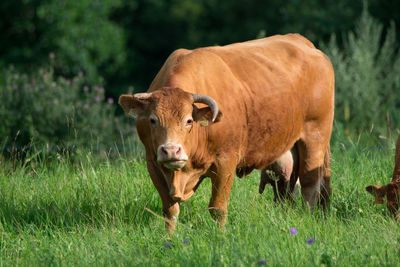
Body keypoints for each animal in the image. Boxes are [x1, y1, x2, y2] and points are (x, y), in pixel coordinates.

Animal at [119, 34, 334, 234]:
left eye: (188, 121)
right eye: (152, 120)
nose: (171, 151)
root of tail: (303, 42)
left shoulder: (225, 161)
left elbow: (218, 208)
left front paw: (220, 236)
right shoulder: (153, 163)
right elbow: (170, 210)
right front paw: (169, 238)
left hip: (315, 138)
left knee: (310, 186)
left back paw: (306, 220)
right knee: (288, 190)